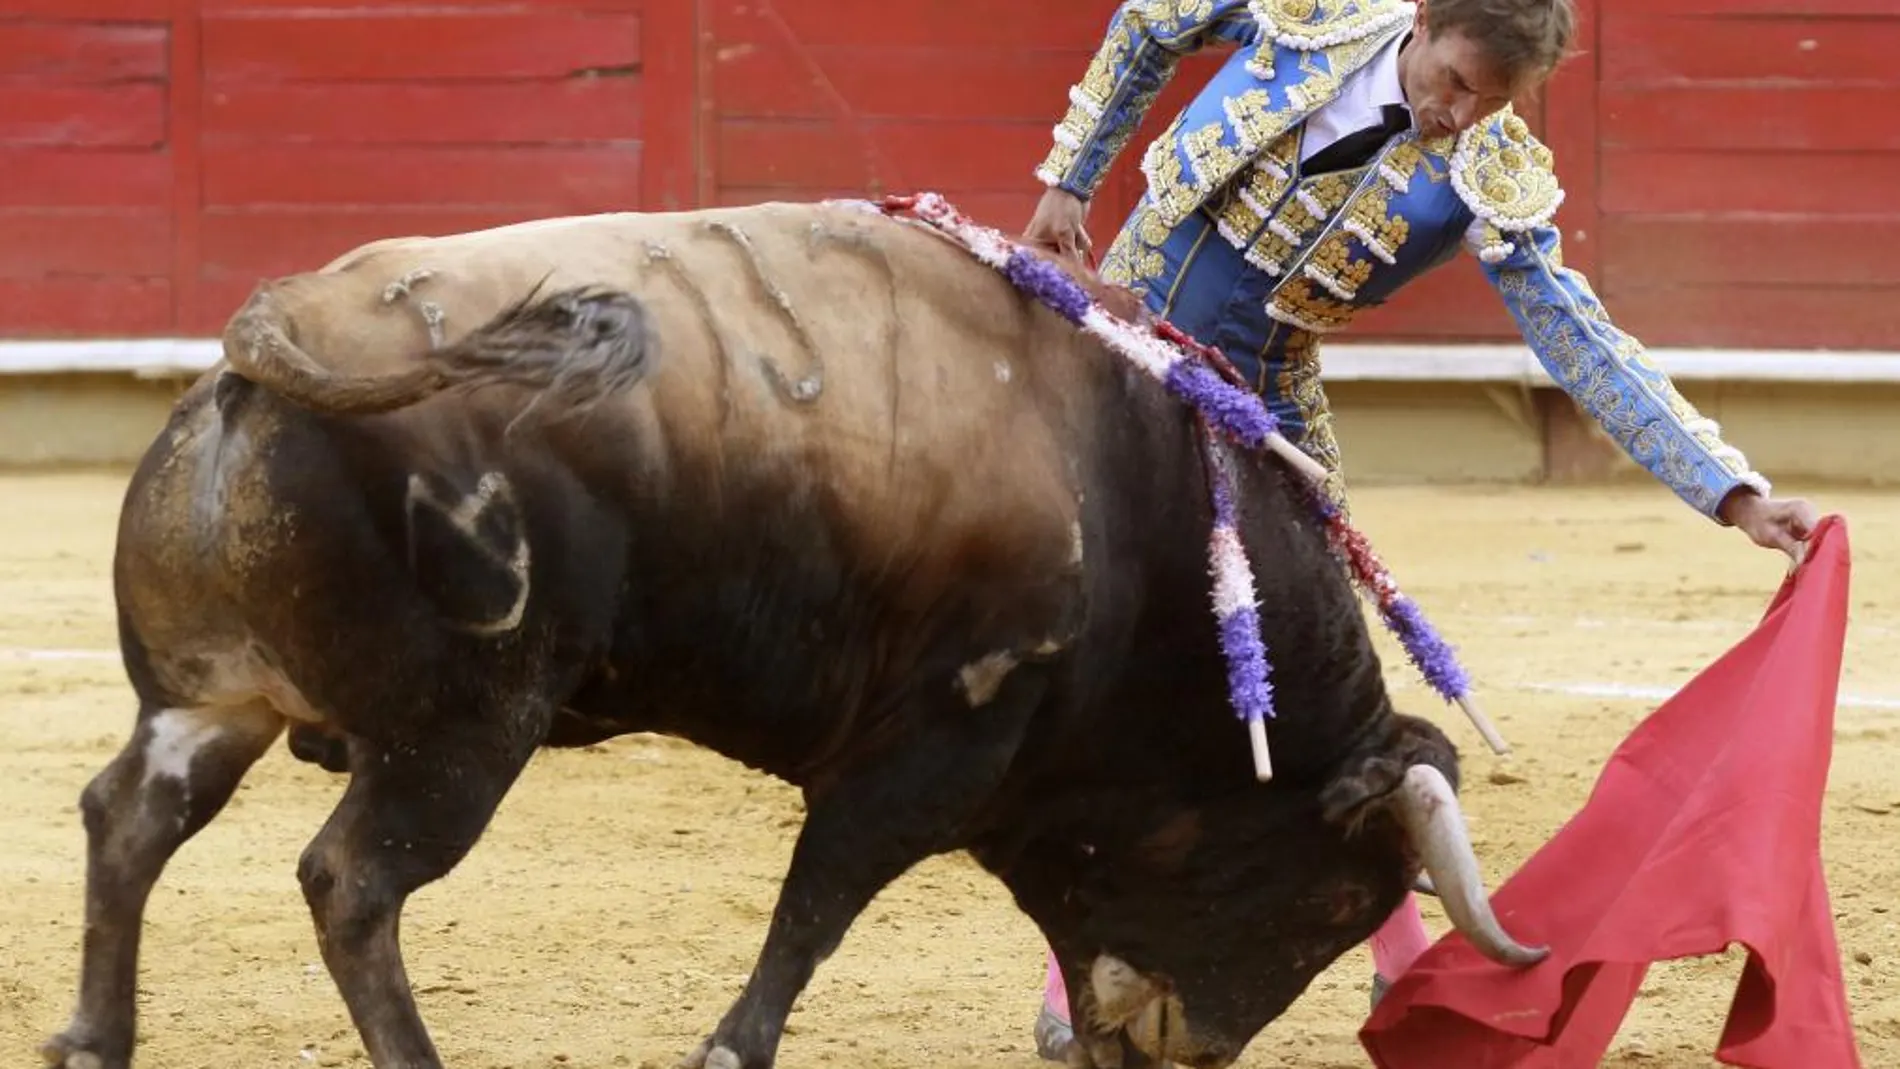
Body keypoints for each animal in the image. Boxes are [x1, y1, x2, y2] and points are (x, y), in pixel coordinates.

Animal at [40, 203, 1542, 1069]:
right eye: (1339, 901)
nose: (1197, 1047)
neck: (1142, 501)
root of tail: (275, 327)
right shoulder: (937, 742)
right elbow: (817, 907)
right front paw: (729, 1048)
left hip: (212, 696)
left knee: (132, 817)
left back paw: (93, 1040)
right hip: (459, 729)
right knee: (352, 880)